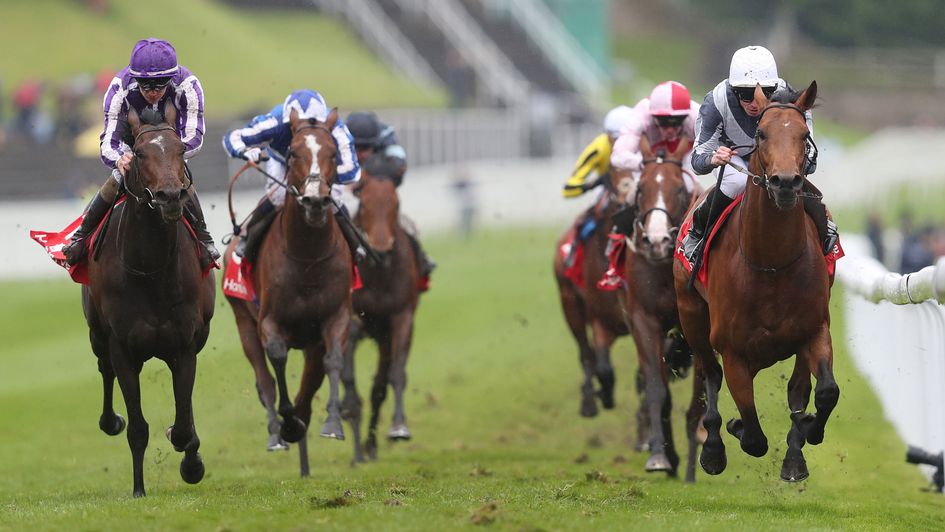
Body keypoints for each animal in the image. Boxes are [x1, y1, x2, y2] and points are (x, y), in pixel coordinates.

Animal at [80, 105, 214, 498]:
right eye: (139, 154)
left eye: (181, 150)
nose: (170, 196)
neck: (151, 269)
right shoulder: (122, 348)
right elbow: (138, 427)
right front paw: (138, 489)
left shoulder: (184, 346)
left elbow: (182, 425)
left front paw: (192, 463)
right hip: (97, 335)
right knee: (103, 369)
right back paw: (111, 420)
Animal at [224, 106, 354, 476]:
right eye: (294, 152)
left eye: (334, 153)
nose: (315, 200)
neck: (307, 255)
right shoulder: (269, 321)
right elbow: (277, 360)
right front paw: (288, 423)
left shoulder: (335, 316)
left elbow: (333, 361)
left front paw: (332, 423)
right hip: (243, 321)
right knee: (264, 379)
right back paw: (276, 433)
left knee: (311, 379)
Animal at [336, 172, 416, 464]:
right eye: (364, 203)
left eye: (396, 203)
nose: (381, 249)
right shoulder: (351, 318)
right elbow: (348, 384)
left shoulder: (401, 317)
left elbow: (395, 375)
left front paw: (399, 427)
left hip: (383, 338)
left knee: (378, 388)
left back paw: (370, 446)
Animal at [668, 80, 836, 482]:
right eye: (761, 134)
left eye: (804, 134)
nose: (786, 183)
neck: (770, 264)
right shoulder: (732, 349)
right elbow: (754, 437)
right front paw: (731, 433)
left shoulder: (815, 329)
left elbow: (824, 392)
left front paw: (808, 434)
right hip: (692, 315)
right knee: (710, 373)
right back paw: (715, 446)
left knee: (798, 388)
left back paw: (794, 451)